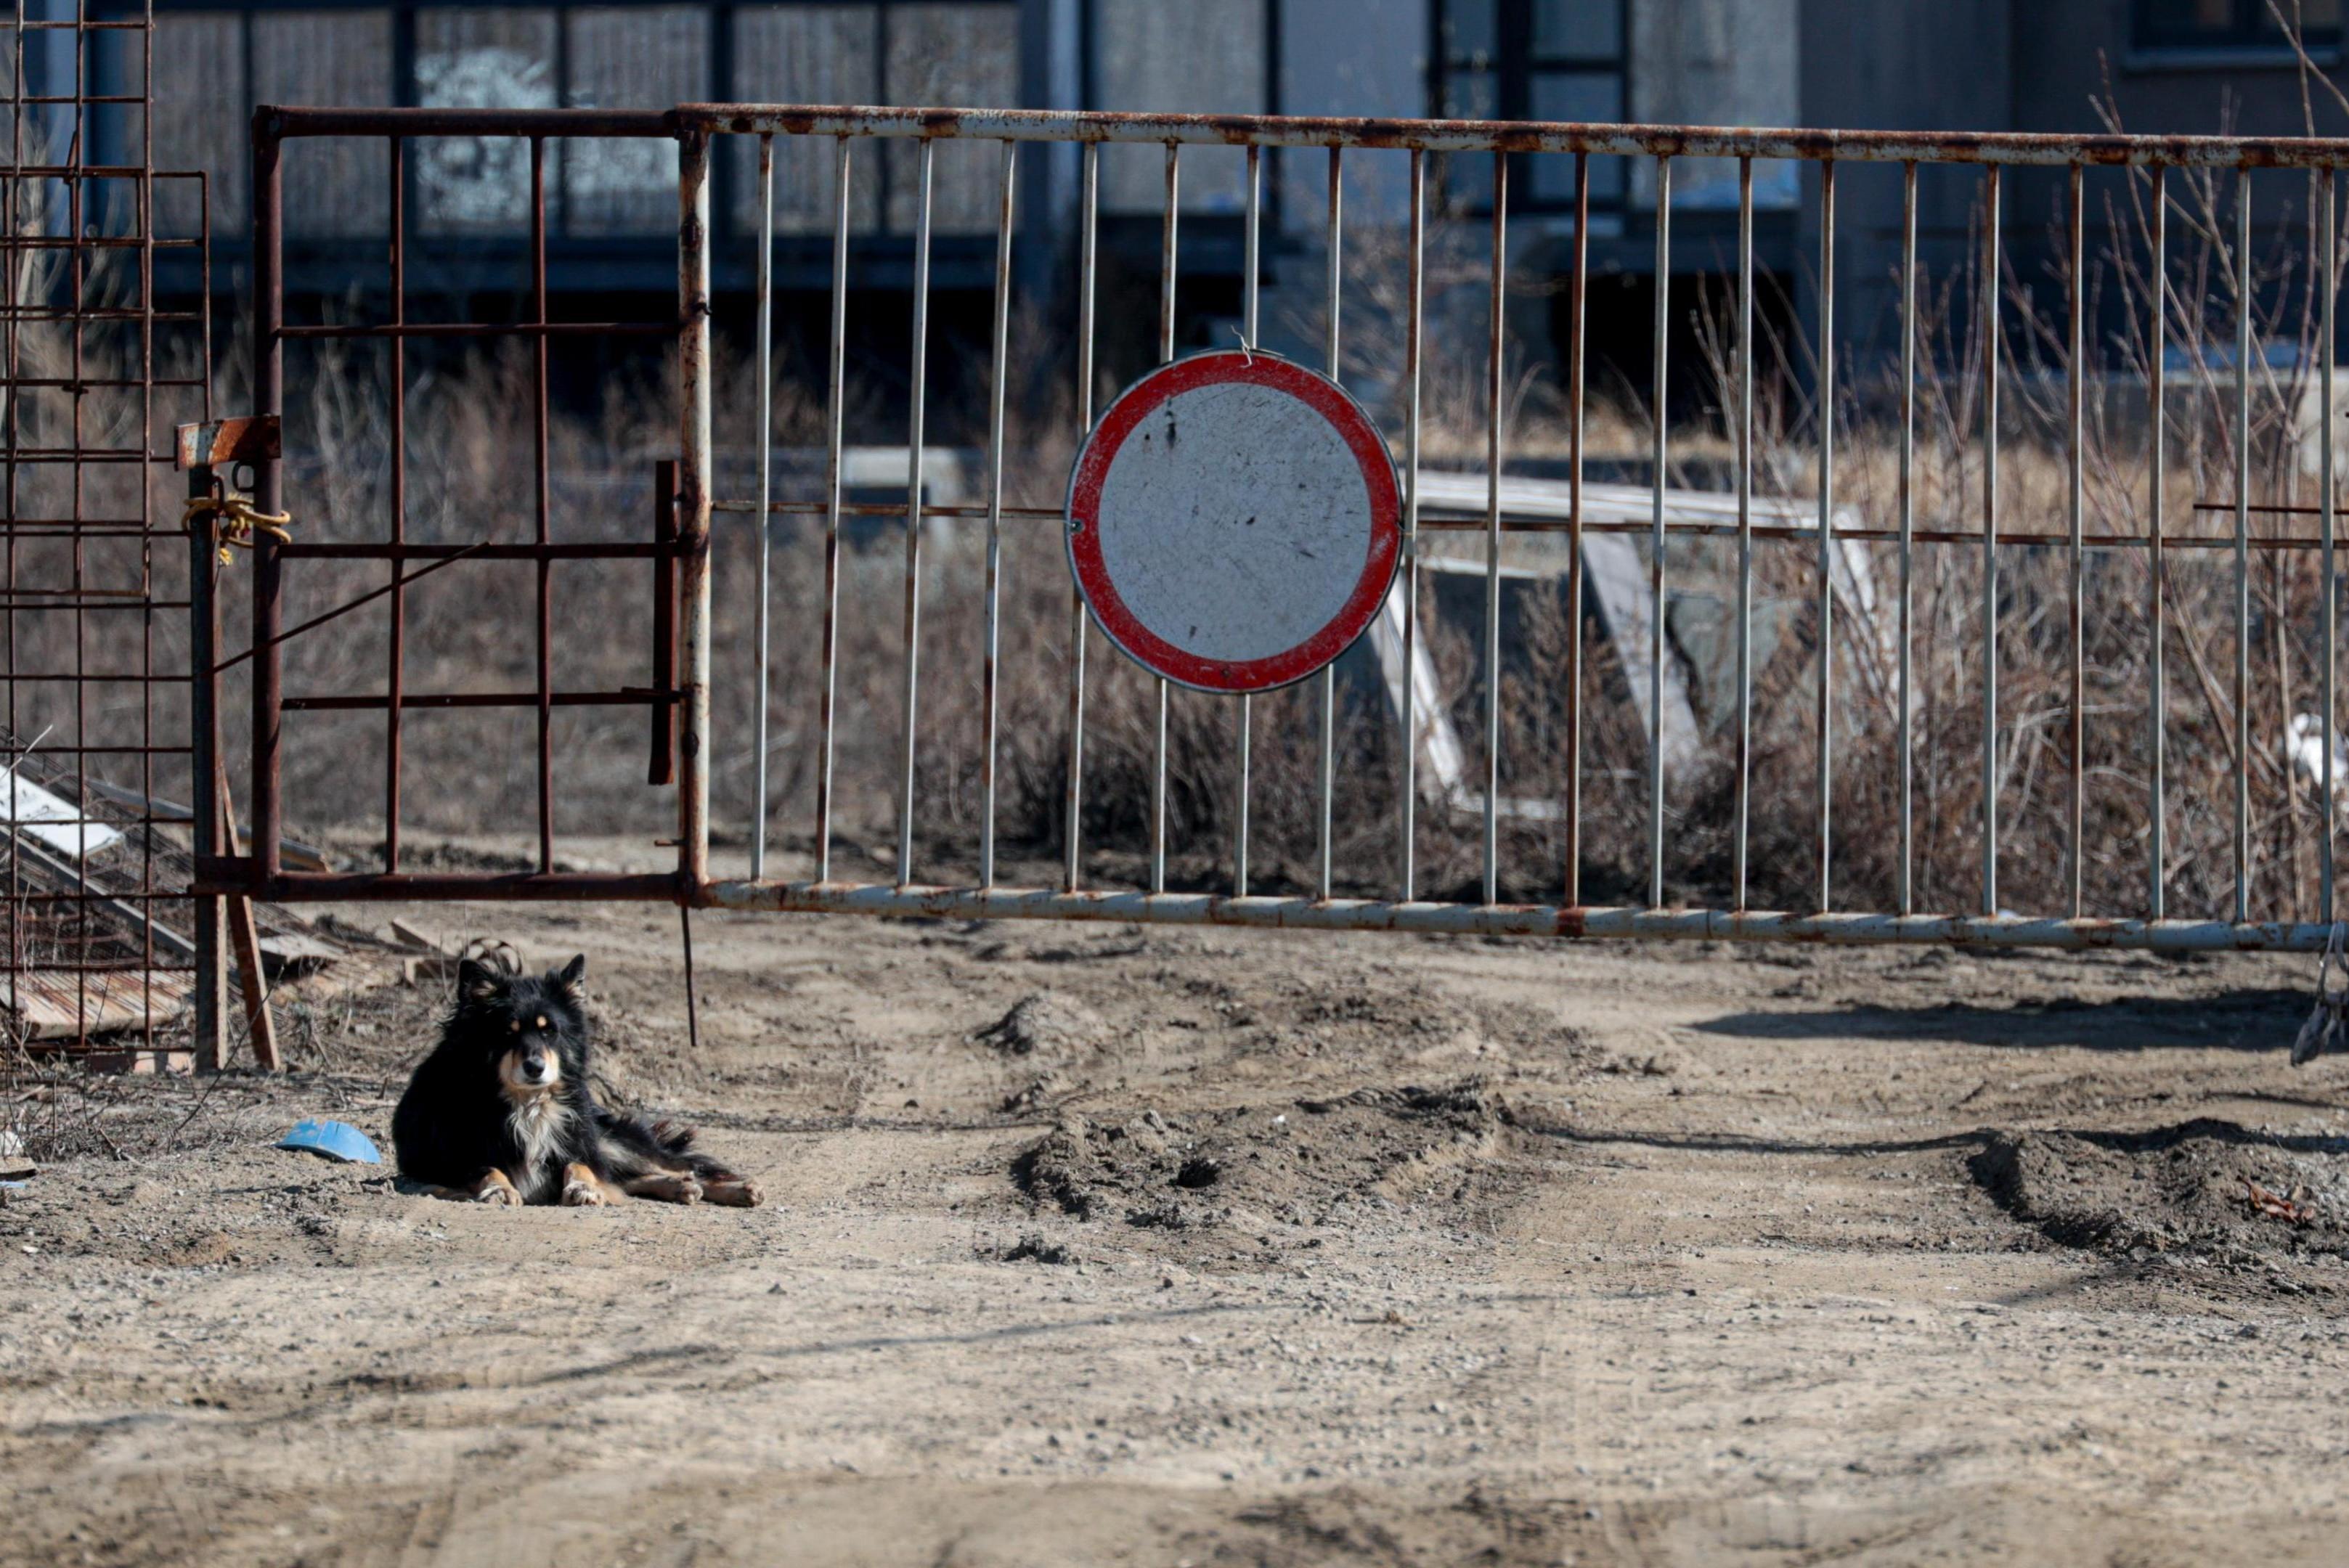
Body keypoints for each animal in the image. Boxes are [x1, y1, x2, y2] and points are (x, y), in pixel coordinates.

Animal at [391, 951, 762, 1208]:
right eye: (508, 1033)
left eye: (550, 1031)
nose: (535, 1067)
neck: (524, 1103)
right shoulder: (443, 1162)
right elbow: (485, 1169)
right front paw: (499, 1190)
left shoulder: (576, 1142)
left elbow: (581, 1167)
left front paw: (583, 1190)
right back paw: (682, 1187)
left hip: (608, 1138)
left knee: (676, 1166)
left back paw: (734, 1188)